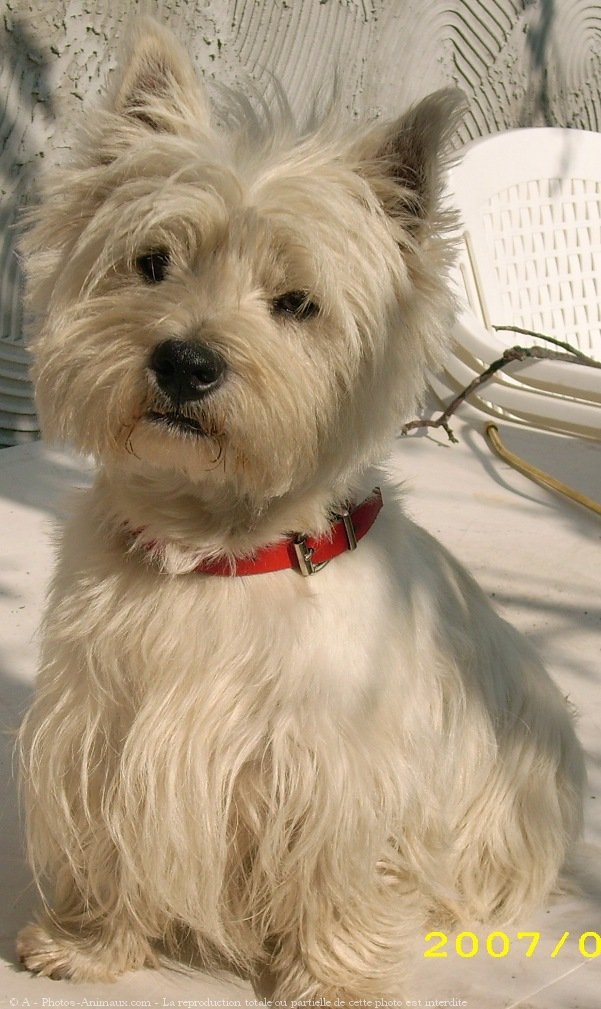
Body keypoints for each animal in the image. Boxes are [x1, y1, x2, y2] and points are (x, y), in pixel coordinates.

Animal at [17, 15, 580, 1000]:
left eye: (297, 304)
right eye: (151, 262)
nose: (185, 362)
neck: (213, 547)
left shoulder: (342, 768)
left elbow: (341, 873)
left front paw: (334, 980)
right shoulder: (103, 727)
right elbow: (109, 837)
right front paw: (88, 942)